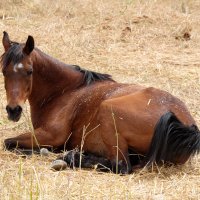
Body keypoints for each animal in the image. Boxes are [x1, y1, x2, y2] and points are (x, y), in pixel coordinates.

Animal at [1, 31, 200, 173]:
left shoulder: (51, 135)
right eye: (3, 71)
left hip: (107, 111)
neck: (66, 91)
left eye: (29, 71)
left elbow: (8, 142)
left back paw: (69, 159)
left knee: (120, 166)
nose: (13, 110)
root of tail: (187, 124)